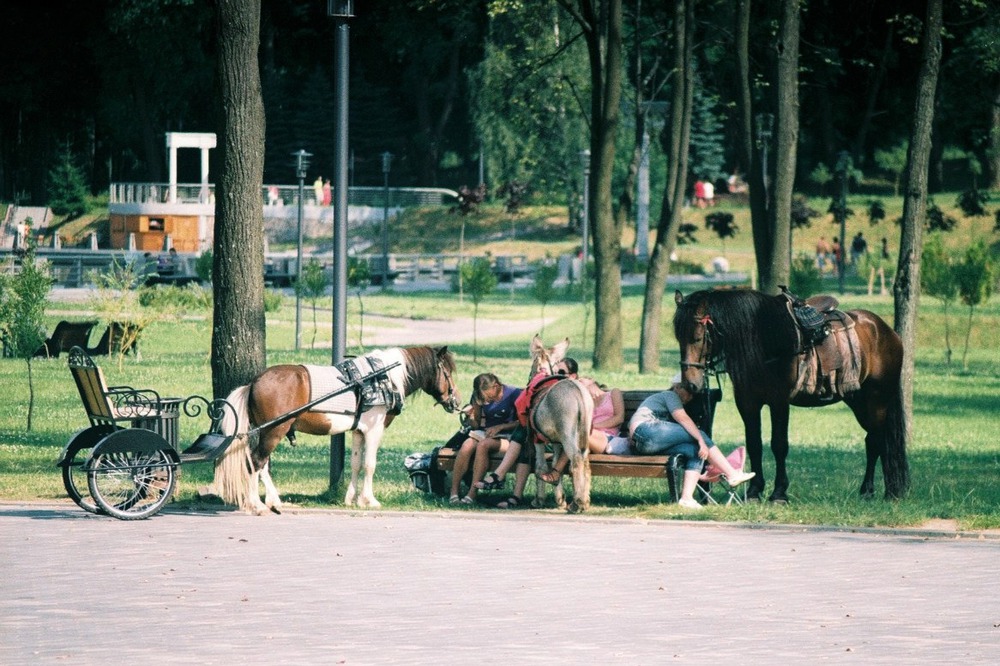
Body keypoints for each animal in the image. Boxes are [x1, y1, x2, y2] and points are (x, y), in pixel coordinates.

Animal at [213, 344, 462, 510]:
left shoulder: (359, 431)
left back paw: (273, 500)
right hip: (274, 431)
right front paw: (369, 500)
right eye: (447, 372)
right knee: (256, 462)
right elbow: (369, 465)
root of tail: (253, 382)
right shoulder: (374, 431)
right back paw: (256, 504)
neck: (382, 378)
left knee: (261, 464)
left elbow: (356, 464)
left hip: (267, 432)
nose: (456, 401)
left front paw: (351, 499)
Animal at [524, 334, 592, 510]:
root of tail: (577, 392)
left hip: (568, 435)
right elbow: (556, 464)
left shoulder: (538, 439)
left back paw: (578, 503)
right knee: (585, 461)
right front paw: (560, 499)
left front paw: (539, 499)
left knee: (576, 459)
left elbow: (540, 466)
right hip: (582, 433)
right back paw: (584, 500)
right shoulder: (555, 441)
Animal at [672, 288, 908, 500]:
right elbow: (754, 444)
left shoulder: (779, 402)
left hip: (876, 400)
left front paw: (779, 493)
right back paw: (889, 491)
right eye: (679, 338)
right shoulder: (748, 403)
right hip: (858, 401)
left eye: (698, 337)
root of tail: (888, 332)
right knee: (876, 441)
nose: (691, 383)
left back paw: (870, 491)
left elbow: (779, 445)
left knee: (876, 442)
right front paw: (755, 491)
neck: (763, 341)